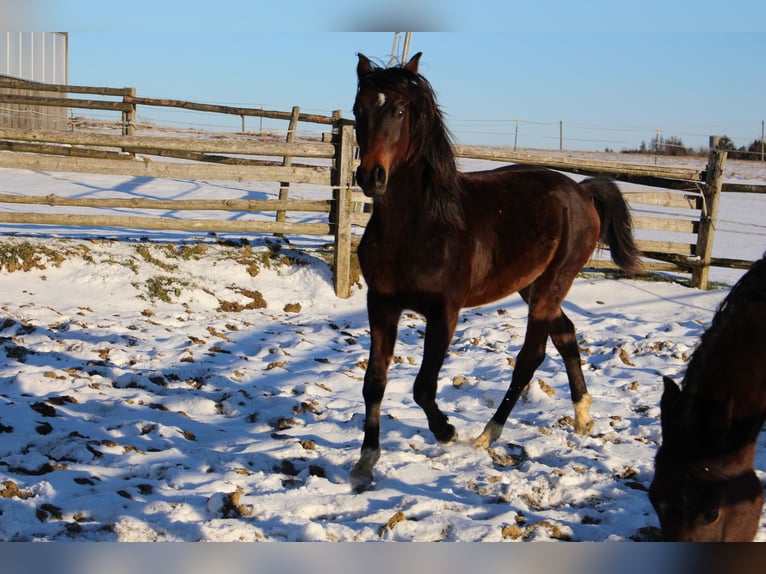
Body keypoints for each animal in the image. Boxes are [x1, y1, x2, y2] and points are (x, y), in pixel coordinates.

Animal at [350, 52, 643, 492]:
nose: (371, 177)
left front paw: (447, 432)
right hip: (531, 285)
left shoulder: (445, 312)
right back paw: (583, 417)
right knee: (566, 335)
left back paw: (487, 434)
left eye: (399, 111)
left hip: (551, 285)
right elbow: (374, 383)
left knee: (531, 356)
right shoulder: (381, 304)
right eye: (357, 110)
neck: (423, 226)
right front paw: (365, 462)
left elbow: (423, 387)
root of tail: (581, 192)